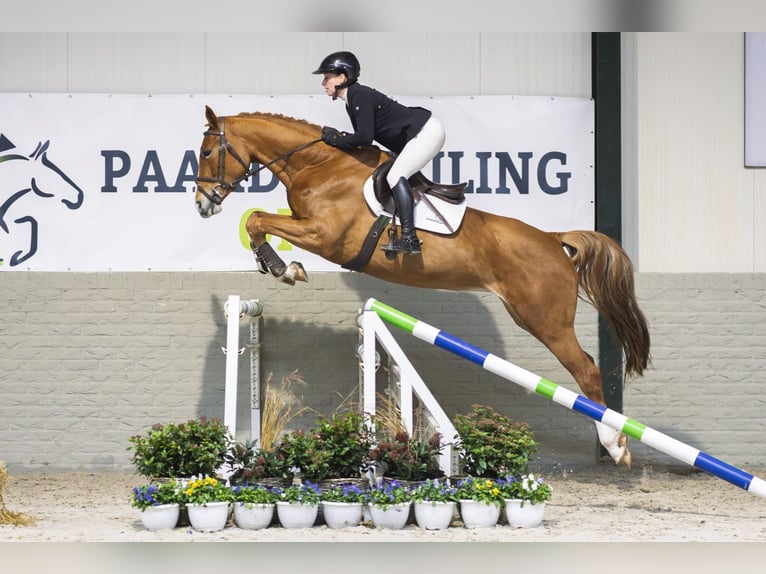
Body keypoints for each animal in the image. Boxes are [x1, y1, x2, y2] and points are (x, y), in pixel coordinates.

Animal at [195, 106, 652, 470]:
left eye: (206, 153)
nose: (203, 203)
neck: (317, 165)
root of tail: (553, 239)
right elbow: (259, 221)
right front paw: (279, 265)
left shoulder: (325, 235)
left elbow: (256, 218)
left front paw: (284, 268)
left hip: (546, 320)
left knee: (587, 370)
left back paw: (615, 447)